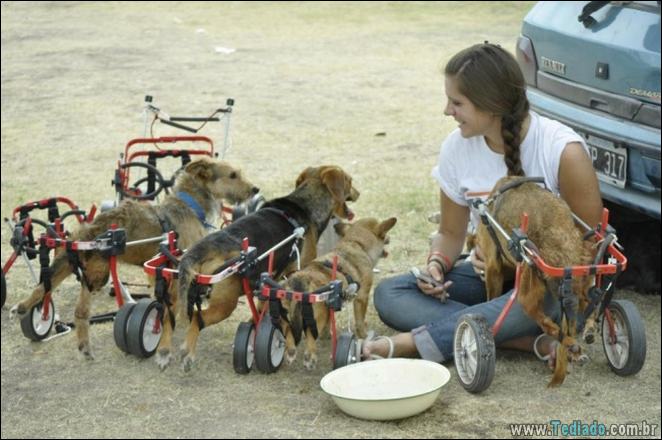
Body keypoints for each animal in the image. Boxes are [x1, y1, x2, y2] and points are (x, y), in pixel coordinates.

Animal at [11, 156, 260, 360]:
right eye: (232, 175)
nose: (255, 189)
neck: (189, 204)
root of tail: (88, 233)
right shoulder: (181, 266)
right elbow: (176, 300)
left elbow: (162, 298)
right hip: (98, 276)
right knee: (78, 308)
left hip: (84, 275)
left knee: (69, 306)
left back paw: (78, 344)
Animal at [169, 165, 360, 372]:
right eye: (350, 180)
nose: (358, 193)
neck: (306, 204)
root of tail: (201, 249)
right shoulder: (296, 274)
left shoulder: (273, 281)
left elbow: (264, 310)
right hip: (225, 304)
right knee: (197, 318)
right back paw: (187, 353)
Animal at [282, 215, 396, 370]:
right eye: (384, 236)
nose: (389, 238)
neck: (355, 243)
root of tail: (299, 285)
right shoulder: (362, 298)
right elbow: (360, 322)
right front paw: (364, 336)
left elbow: (328, 325)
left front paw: (327, 335)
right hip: (316, 319)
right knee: (310, 338)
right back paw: (310, 358)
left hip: (287, 317)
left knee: (289, 332)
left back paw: (290, 351)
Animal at [474, 177, 592, 386]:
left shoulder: (492, 267)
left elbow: (492, 294)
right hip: (580, 281)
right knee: (581, 310)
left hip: (527, 280)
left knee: (539, 317)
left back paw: (565, 341)